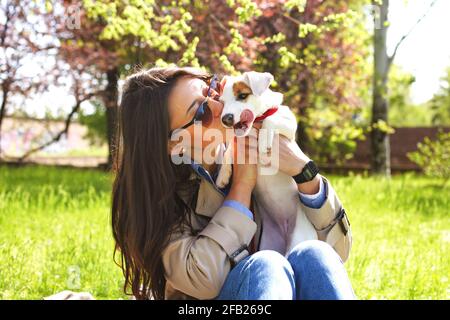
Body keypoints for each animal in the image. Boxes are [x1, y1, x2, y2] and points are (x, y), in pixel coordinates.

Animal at [217, 71, 318, 256]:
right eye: (222, 102)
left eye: (242, 95)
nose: (226, 119)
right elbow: (230, 148)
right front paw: (223, 174)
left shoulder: (289, 125)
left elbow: (270, 120)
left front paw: (264, 142)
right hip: (267, 244)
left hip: (299, 239)